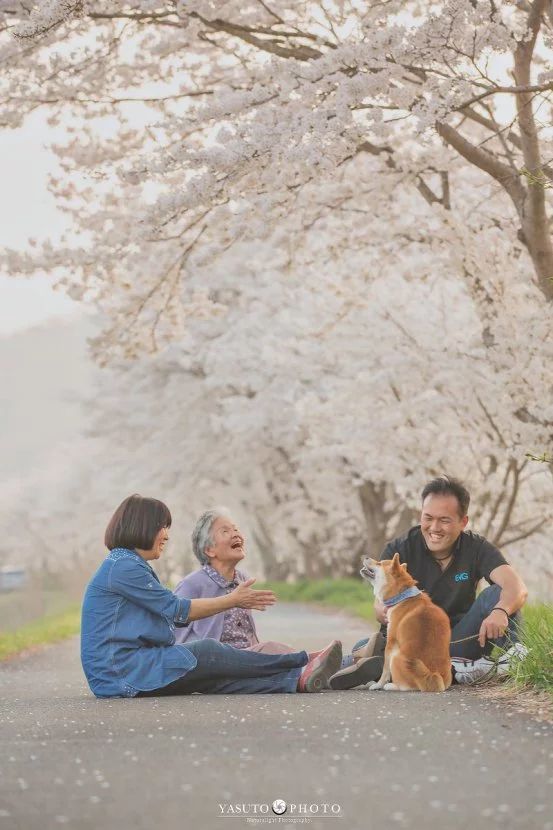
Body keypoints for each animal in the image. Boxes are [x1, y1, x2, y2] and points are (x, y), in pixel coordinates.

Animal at [360, 560, 450, 696]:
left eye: (380, 563)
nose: (366, 557)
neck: (402, 597)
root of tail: (433, 677)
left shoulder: (390, 642)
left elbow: (385, 670)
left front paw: (378, 685)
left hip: (396, 657)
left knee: (407, 687)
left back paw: (390, 686)